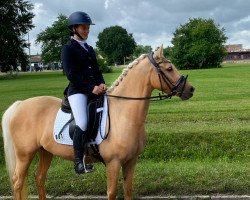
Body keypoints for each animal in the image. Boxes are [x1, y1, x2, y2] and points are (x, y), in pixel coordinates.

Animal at [0, 45, 194, 200]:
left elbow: (128, 191)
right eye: (169, 68)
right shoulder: (113, 163)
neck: (123, 114)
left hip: (45, 151)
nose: (191, 89)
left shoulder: (131, 161)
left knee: (39, 177)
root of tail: (20, 105)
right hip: (25, 154)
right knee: (18, 182)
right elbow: (112, 193)